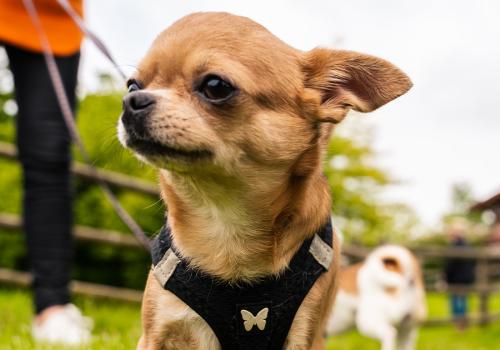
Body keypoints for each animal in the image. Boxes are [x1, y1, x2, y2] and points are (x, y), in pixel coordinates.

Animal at [118, 11, 414, 350]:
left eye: (215, 86)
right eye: (131, 86)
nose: (131, 101)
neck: (227, 224)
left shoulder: (306, 336)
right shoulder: (156, 334)